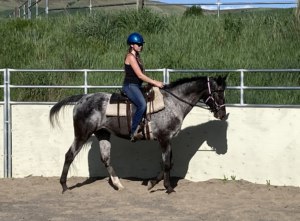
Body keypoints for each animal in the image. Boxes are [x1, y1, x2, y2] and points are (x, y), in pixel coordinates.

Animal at [49, 75, 227, 194]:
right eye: (219, 93)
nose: (223, 114)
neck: (172, 103)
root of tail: (83, 97)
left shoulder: (167, 140)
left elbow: (169, 163)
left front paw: (152, 183)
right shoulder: (164, 139)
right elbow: (167, 164)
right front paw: (168, 188)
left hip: (103, 134)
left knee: (105, 159)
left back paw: (118, 184)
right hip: (82, 134)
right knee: (69, 155)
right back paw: (64, 186)